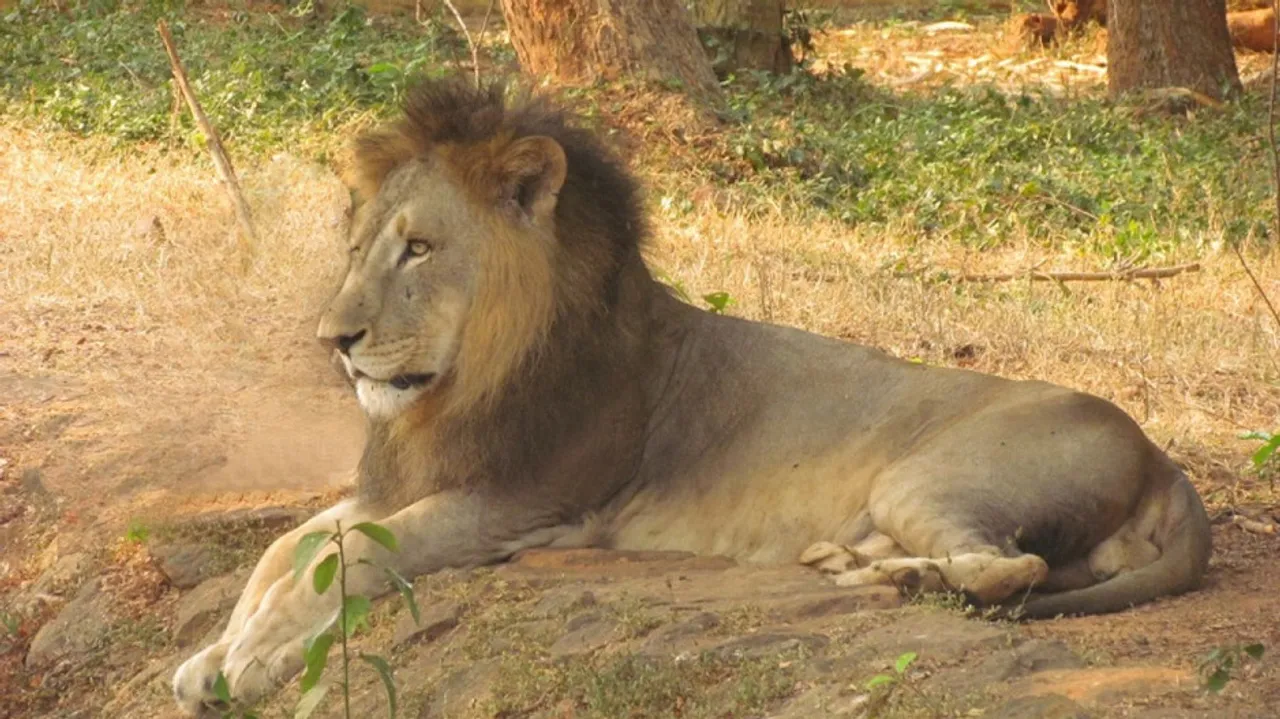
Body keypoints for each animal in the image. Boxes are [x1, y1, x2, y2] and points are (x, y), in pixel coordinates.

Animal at [173, 76, 1211, 714]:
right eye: (356, 248)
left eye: (419, 248)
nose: (333, 341)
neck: (465, 384)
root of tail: (1164, 458)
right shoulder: (413, 479)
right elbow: (286, 547)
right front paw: (212, 658)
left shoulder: (523, 500)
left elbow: (347, 554)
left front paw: (255, 661)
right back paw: (852, 562)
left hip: (927, 478)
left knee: (1012, 569)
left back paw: (902, 580)